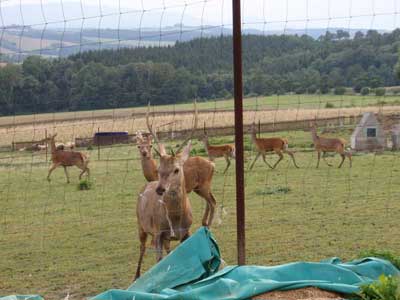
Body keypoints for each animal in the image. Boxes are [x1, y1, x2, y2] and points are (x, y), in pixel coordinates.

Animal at [134, 102, 198, 278]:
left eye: (176, 169)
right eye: (159, 169)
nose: (160, 189)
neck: (175, 219)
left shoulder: (186, 231)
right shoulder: (158, 232)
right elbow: (158, 261)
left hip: (166, 237)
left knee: (169, 252)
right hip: (140, 224)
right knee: (142, 248)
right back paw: (137, 275)